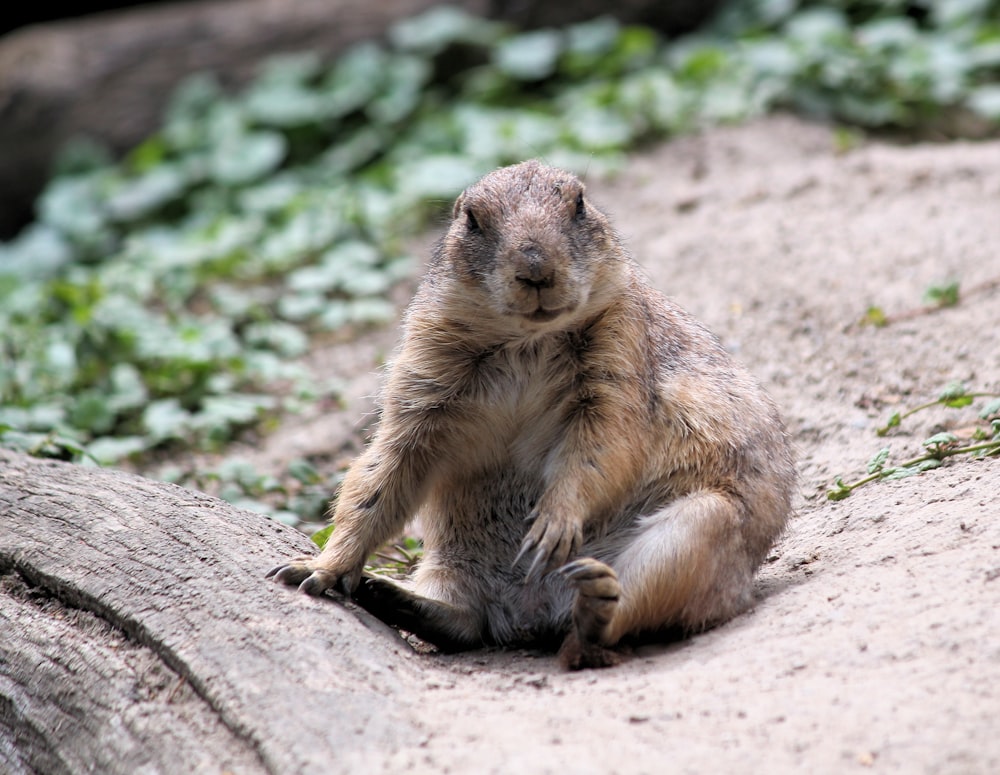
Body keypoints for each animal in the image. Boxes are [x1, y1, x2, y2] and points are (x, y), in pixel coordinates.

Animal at [268, 161, 796, 668]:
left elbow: (602, 445)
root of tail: (528, 615)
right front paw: (314, 570)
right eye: (471, 219)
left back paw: (595, 603)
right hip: (448, 562)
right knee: (467, 626)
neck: (527, 341)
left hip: (698, 532)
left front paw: (550, 526)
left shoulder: (618, 357)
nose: (536, 269)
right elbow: (381, 471)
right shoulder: (424, 377)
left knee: (611, 623)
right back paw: (388, 592)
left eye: (579, 203)